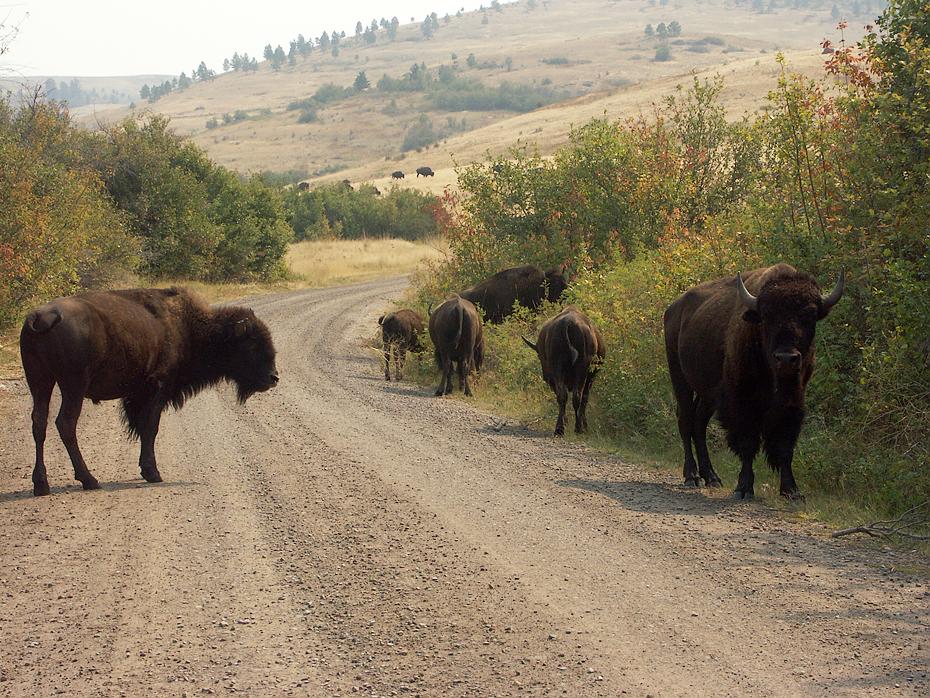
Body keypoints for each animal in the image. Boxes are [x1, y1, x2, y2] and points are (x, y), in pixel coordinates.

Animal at [20, 288, 279, 496]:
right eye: (252, 343)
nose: (273, 377)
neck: (187, 327)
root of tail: (40, 316)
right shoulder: (158, 388)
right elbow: (150, 428)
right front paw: (153, 472)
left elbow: (143, 427)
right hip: (72, 386)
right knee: (65, 423)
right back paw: (89, 480)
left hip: (40, 382)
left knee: (39, 423)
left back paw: (41, 485)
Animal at [523, 306, 605, 436]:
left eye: (539, 355)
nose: (545, 376)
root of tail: (569, 324)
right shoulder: (589, 378)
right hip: (579, 371)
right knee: (575, 396)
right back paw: (576, 428)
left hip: (562, 371)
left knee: (565, 396)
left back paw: (561, 428)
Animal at [663, 264, 845, 499]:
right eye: (766, 315)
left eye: (810, 315)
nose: (786, 358)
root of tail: (673, 309)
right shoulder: (741, 401)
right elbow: (748, 443)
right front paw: (743, 488)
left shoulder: (793, 400)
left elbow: (785, 446)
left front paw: (792, 491)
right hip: (680, 378)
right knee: (685, 421)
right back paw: (692, 477)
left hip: (707, 395)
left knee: (699, 423)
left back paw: (712, 477)